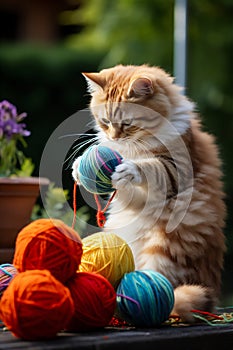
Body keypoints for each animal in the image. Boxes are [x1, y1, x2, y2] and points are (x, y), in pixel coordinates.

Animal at [73, 64, 226, 322]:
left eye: (127, 123)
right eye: (105, 121)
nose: (113, 137)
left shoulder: (175, 170)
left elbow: (150, 167)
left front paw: (131, 169)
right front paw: (78, 167)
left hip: (163, 246)